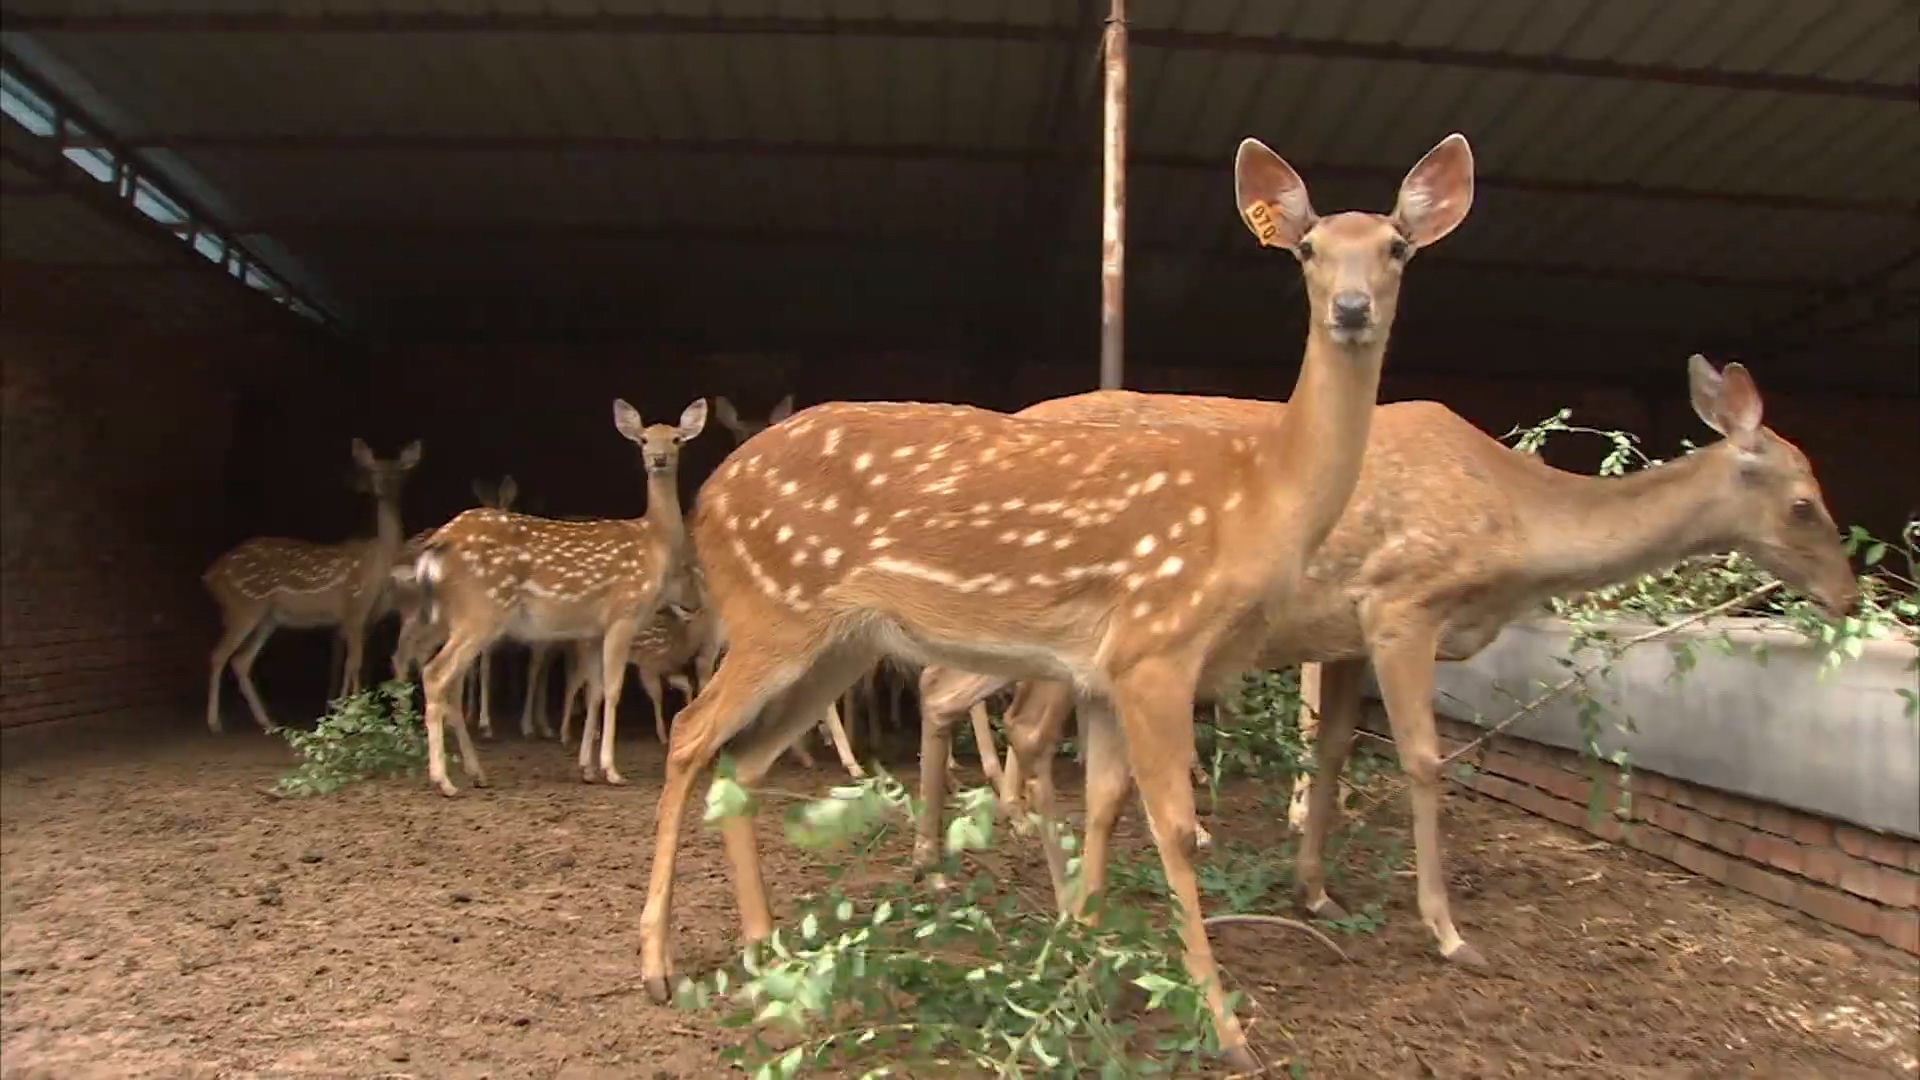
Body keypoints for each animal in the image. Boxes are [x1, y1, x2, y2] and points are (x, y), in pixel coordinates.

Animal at [204, 438, 422, 730]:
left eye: (399, 472)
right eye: (373, 470)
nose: (382, 488)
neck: (380, 565)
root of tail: (210, 576)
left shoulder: (366, 618)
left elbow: (355, 663)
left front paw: (348, 711)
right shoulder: (354, 608)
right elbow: (354, 662)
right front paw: (353, 716)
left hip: (268, 617)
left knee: (241, 660)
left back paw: (268, 722)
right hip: (244, 606)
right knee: (219, 655)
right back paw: (215, 723)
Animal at [408, 397, 710, 791]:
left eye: (676, 439)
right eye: (644, 440)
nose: (658, 459)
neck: (654, 543)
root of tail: (437, 544)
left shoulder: (593, 631)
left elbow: (594, 691)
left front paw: (587, 768)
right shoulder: (623, 613)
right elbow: (612, 689)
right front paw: (612, 770)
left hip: (454, 617)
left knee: (451, 683)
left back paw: (477, 773)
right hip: (481, 611)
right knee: (436, 674)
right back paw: (443, 780)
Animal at [637, 130, 1474, 1060]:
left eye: (1397, 247)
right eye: (1308, 250)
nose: (1353, 309)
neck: (1258, 499)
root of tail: (709, 500)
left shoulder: (1103, 671)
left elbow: (1104, 803)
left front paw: (1078, 961)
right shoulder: (1156, 643)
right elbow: (1173, 827)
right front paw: (1225, 1027)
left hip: (838, 642)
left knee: (742, 759)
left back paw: (770, 950)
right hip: (773, 614)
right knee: (689, 735)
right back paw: (659, 964)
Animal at [913, 353, 1858, 968]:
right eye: (1805, 503)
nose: (1849, 595)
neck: (1513, 523)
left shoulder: (1345, 634)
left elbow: (1331, 750)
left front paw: (1315, 892)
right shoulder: (1403, 601)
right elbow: (1422, 759)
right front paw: (1449, 932)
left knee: (959, 694)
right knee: (1000, 711)